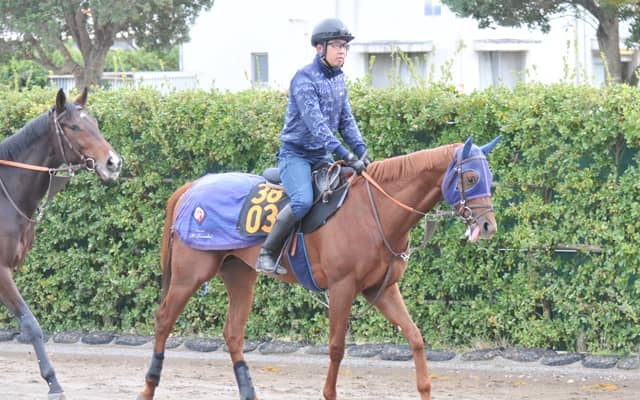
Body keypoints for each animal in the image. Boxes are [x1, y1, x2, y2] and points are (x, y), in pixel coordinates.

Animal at [0, 88, 122, 400]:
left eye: (95, 123)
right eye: (74, 127)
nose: (113, 163)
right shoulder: (0, 272)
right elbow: (30, 324)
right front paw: (53, 382)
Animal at [137, 135, 501, 400]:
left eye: (490, 178)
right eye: (471, 177)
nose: (487, 226)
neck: (375, 212)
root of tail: (191, 187)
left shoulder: (381, 290)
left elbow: (415, 337)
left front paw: (425, 387)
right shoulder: (342, 288)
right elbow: (337, 348)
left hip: (239, 274)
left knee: (232, 333)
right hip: (190, 275)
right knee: (163, 320)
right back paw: (149, 386)